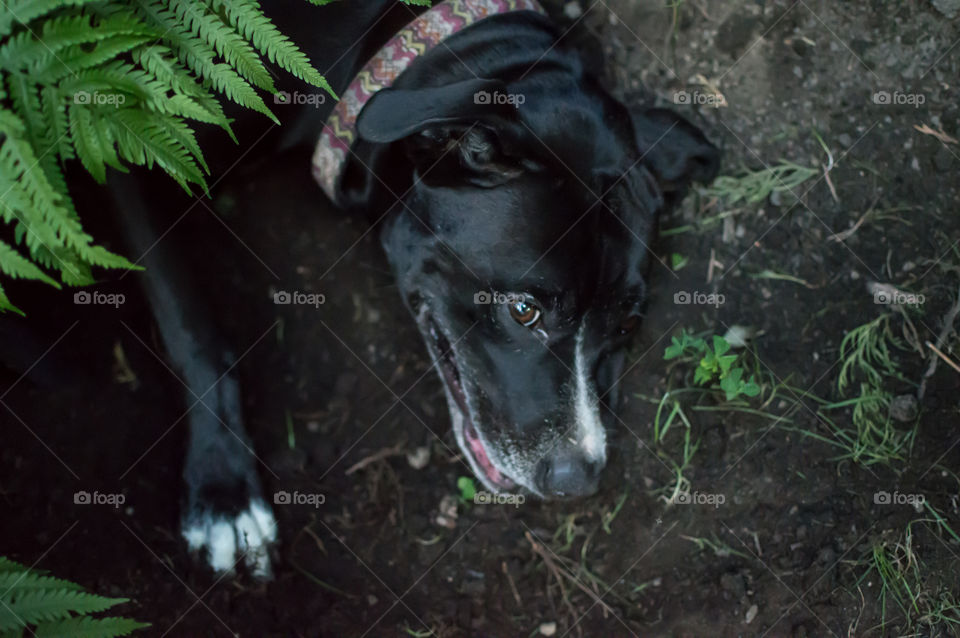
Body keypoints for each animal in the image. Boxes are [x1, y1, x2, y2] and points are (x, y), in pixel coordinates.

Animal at [109, 0, 716, 576]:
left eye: (628, 324)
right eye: (524, 311)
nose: (578, 481)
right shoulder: (128, 136)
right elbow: (192, 327)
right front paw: (224, 493)